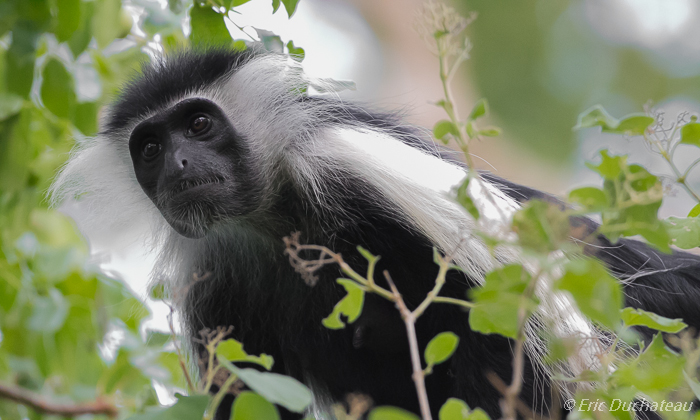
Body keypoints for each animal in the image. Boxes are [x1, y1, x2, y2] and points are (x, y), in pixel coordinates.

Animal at [52, 48, 700, 416]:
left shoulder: (350, 164)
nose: (179, 165)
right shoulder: (214, 290)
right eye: (150, 149)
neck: (272, 220)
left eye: (199, 124)